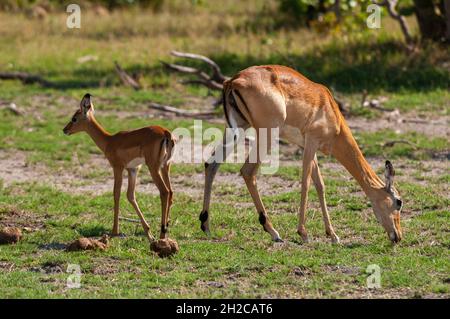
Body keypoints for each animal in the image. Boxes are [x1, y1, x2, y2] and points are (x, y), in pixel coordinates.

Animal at [63, 94, 176, 242]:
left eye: (74, 118)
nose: (65, 130)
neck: (109, 141)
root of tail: (165, 132)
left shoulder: (117, 167)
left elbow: (116, 194)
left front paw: (114, 231)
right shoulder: (133, 169)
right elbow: (130, 195)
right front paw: (148, 232)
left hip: (154, 168)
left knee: (164, 192)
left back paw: (162, 235)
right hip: (165, 166)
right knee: (171, 191)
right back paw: (166, 230)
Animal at [201, 65, 404, 245]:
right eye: (399, 202)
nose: (398, 236)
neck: (330, 111)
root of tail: (233, 80)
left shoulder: (307, 146)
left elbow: (320, 185)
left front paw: (333, 235)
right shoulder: (311, 143)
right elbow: (306, 184)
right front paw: (303, 233)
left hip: (236, 129)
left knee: (211, 163)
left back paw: (206, 225)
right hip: (266, 135)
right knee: (248, 171)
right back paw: (273, 232)